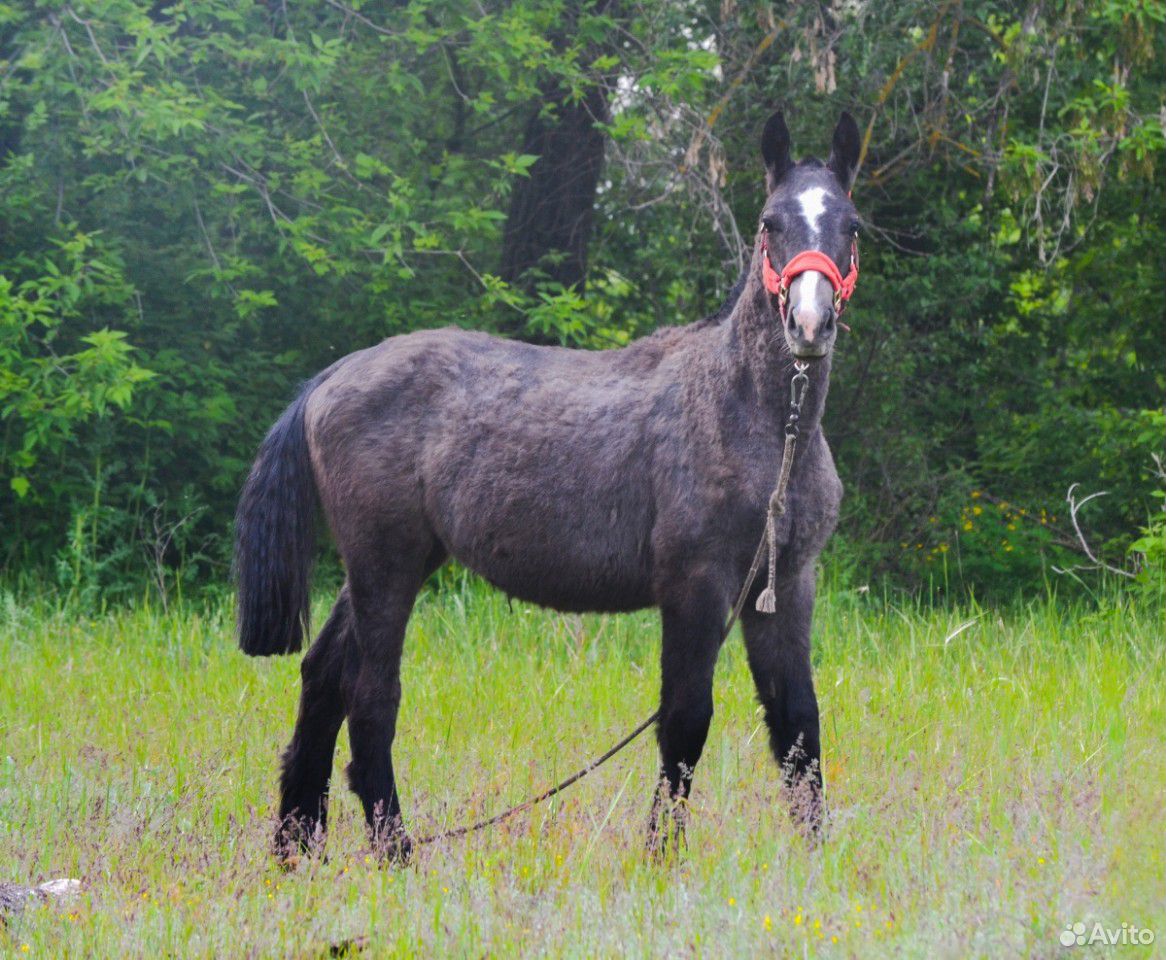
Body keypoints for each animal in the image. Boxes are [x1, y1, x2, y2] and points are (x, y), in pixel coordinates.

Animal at [234, 109, 867, 858]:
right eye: (771, 222)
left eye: (851, 225)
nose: (808, 323)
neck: (756, 422)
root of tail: (332, 377)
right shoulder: (695, 587)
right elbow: (686, 721)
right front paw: (661, 855)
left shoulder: (786, 587)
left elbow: (799, 724)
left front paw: (817, 858)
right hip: (384, 567)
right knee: (370, 701)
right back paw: (394, 853)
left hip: (393, 565)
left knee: (323, 679)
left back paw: (296, 846)